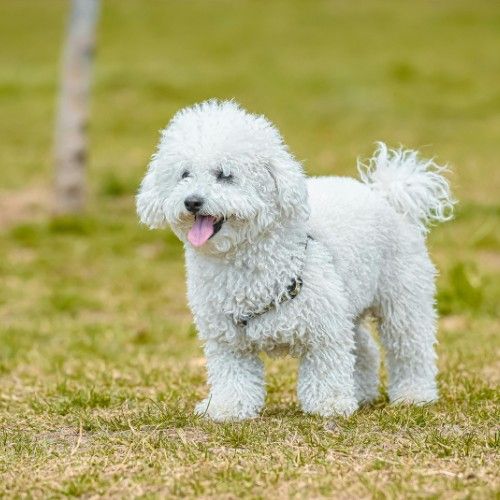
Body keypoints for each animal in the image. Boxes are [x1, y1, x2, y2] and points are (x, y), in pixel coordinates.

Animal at [135, 100, 456, 422]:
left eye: (225, 174)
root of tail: (386, 196)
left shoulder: (324, 329)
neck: (244, 261)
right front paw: (227, 407)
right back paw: (361, 392)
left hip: (402, 297)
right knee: (364, 348)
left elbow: (326, 366)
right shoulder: (227, 340)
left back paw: (414, 395)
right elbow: (233, 375)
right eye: (184, 174)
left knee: (409, 347)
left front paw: (329, 404)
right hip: (348, 301)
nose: (192, 201)